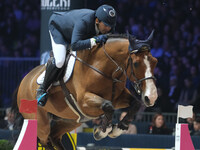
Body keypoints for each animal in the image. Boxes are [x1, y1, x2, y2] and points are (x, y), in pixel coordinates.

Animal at [16, 31, 158, 149]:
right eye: (136, 63)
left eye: (155, 62)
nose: (151, 97)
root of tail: (24, 80)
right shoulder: (84, 101)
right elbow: (108, 106)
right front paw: (102, 131)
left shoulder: (118, 98)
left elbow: (135, 104)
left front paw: (119, 128)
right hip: (41, 122)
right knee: (44, 140)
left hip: (70, 121)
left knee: (54, 137)